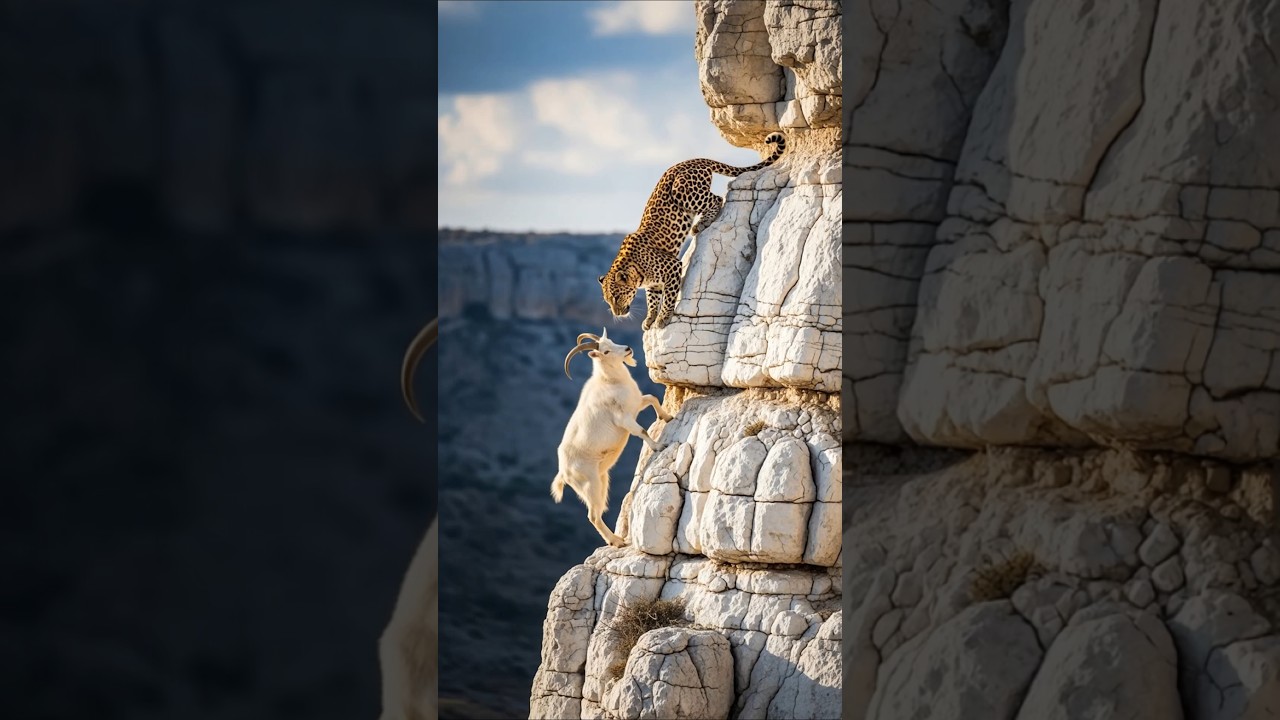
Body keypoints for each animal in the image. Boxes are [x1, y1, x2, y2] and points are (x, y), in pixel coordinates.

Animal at [553, 328, 673, 547]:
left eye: (611, 340)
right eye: (605, 351)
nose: (627, 349)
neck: (610, 382)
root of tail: (563, 473)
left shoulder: (636, 405)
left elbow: (652, 398)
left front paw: (667, 417)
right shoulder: (624, 419)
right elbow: (641, 431)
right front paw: (659, 446)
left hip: (602, 480)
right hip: (590, 485)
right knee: (593, 516)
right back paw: (616, 541)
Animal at [599, 132, 786, 331]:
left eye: (616, 297)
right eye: (608, 301)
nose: (617, 313)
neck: (635, 269)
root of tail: (688, 161)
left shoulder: (672, 267)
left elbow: (669, 297)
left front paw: (663, 318)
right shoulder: (654, 283)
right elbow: (652, 299)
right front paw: (650, 319)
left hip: (681, 190)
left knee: (717, 198)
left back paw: (700, 224)